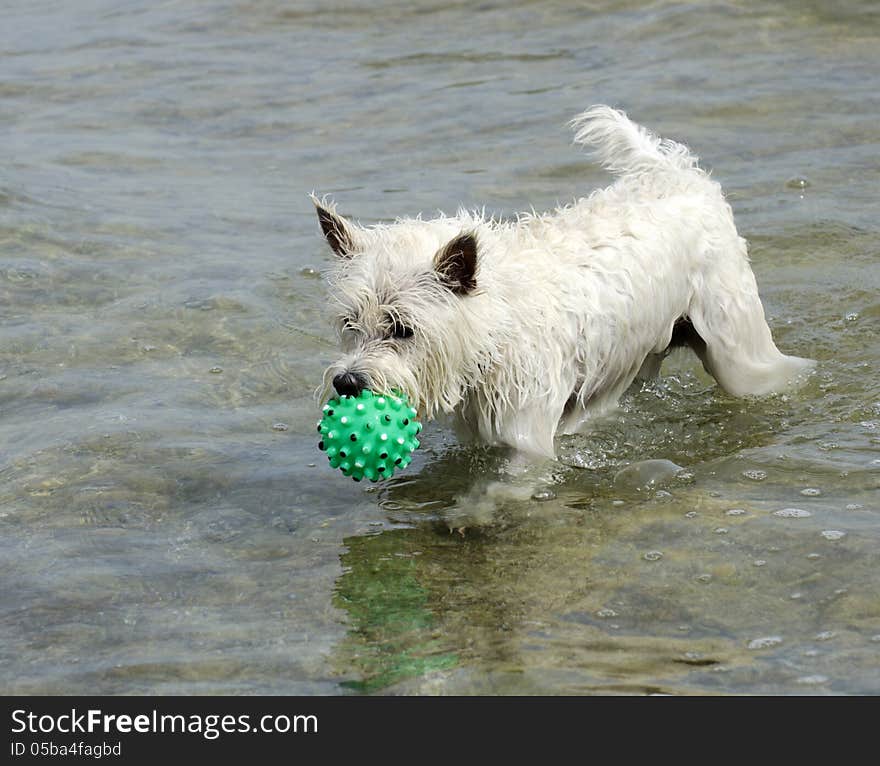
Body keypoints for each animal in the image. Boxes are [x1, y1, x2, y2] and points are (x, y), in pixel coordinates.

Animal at [312, 105, 816, 464]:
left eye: (403, 329)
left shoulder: (527, 435)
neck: (493, 326)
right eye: (350, 324)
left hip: (735, 347)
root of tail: (677, 174)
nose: (347, 382)